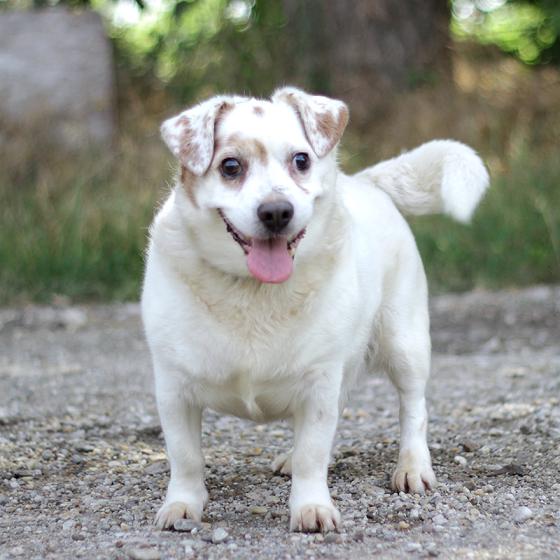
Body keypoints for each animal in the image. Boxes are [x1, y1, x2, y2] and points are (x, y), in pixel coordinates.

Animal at [141, 87, 489, 533]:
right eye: (230, 166)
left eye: (302, 160)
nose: (276, 211)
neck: (254, 292)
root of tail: (365, 181)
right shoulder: (174, 390)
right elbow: (185, 458)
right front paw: (183, 505)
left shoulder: (318, 383)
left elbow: (313, 453)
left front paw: (311, 507)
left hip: (405, 345)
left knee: (414, 409)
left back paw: (412, 467)